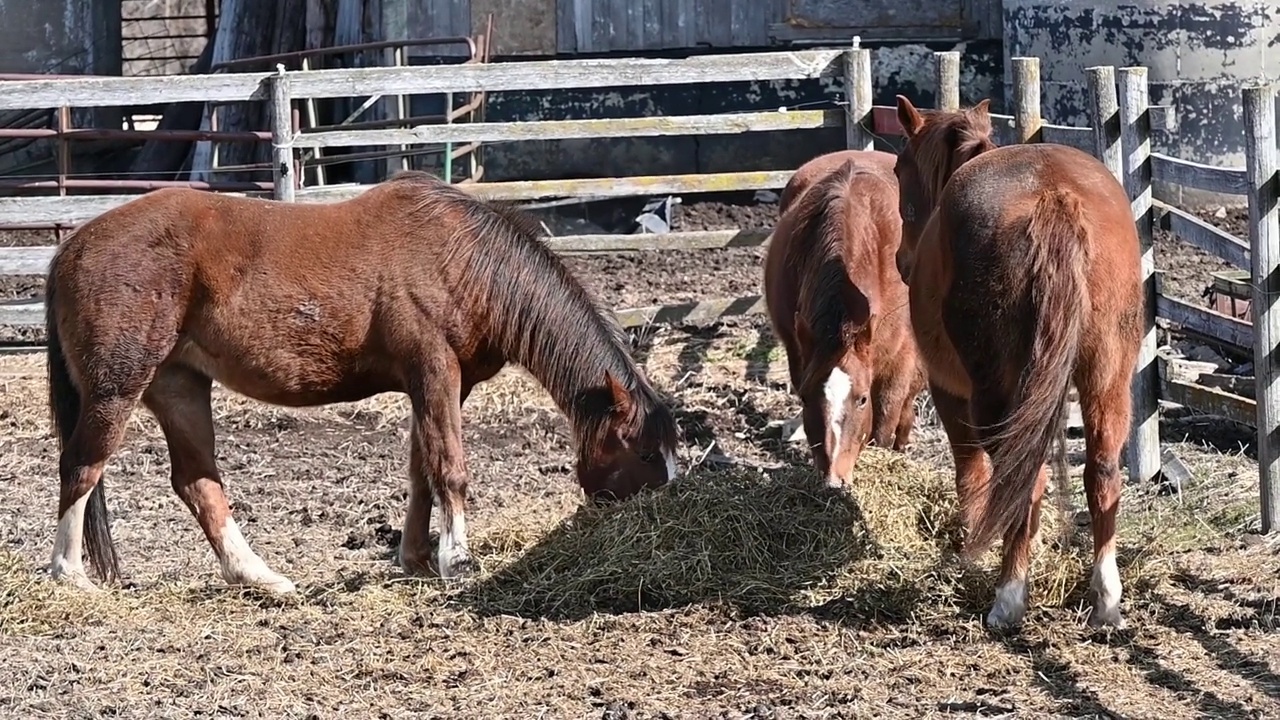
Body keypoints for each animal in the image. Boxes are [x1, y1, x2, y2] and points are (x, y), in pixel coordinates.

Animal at [42, 170, 680, 591]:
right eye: (648, 454)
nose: (669, 508)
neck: (460, 260)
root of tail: (71, 248)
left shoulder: (440, 386)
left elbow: (423, 470)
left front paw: (418, 558)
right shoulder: (434, 371)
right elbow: (450, 468)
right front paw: (457, 561)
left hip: (179, 387)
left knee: (197, 483)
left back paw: (261, 577)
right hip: (117, 388)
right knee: (82, 466)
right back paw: (71, 575)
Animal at [890, 96, 1141, 627]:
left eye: (900, 168)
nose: (903, 261)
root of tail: (1055, 198)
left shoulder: (948, 390)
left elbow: (970, 473)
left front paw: (971, 548)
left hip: (994, 393)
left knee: (1024, 476)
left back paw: (1008, 596)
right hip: (1107, 377)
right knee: (1102, 472)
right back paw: (1106, 597)